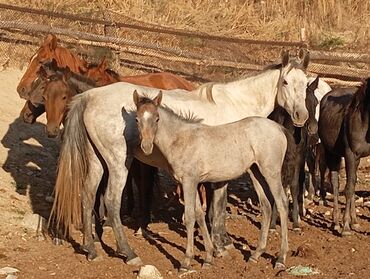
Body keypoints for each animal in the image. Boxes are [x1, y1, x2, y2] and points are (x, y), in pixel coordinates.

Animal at [320, 79, 368, 236]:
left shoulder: (356, 157)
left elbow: (352, 186)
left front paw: (351, 222)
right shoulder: (350, 154)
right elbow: (348, 189)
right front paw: (345, 226)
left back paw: (354, 222)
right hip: (332, 153)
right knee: (335, 183)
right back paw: (336, 222)